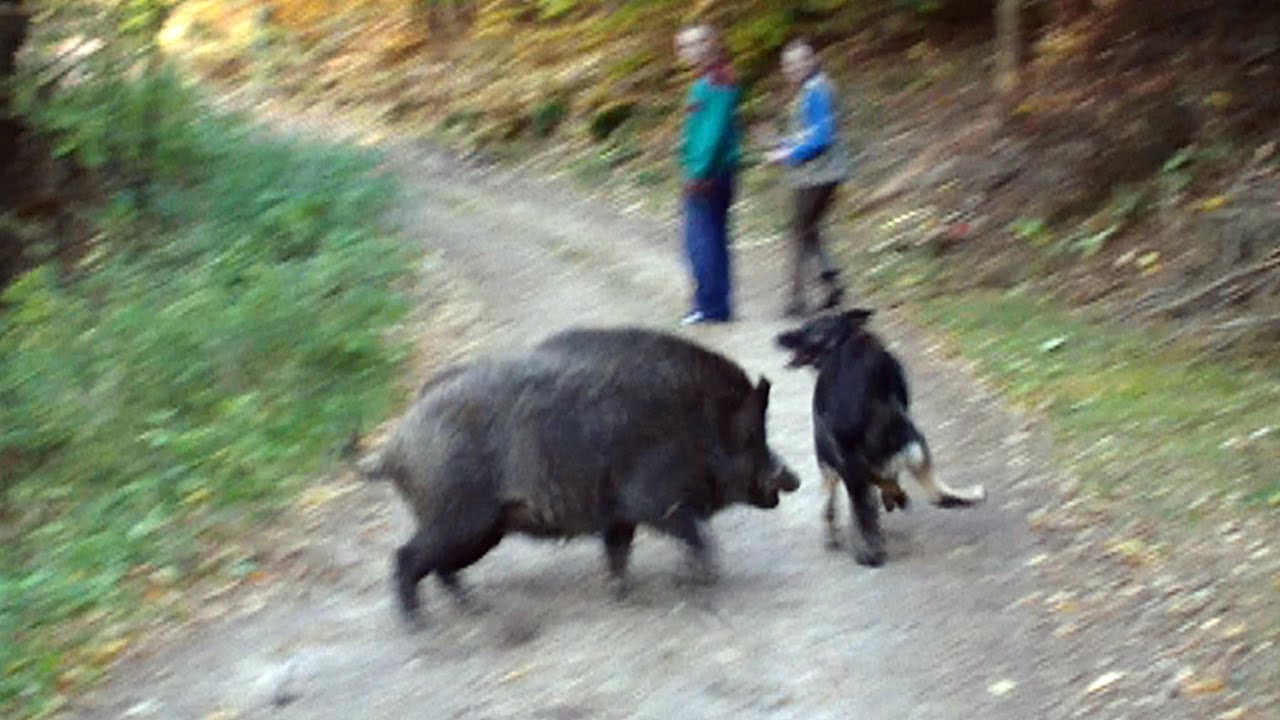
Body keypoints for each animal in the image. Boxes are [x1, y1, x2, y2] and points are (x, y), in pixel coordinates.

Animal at [773, 304, 983, 563]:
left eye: (804, 329)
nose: (780, 337)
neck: (840, 341)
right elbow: (885, 478)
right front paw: (892, 498)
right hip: (911, 435)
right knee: (934, 493)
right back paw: (966, 495)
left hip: (829, 455)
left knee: (834, 504)